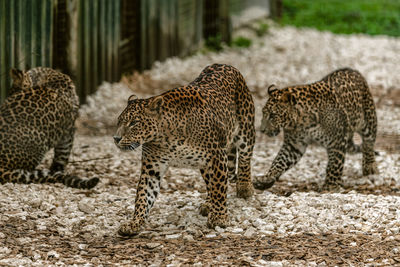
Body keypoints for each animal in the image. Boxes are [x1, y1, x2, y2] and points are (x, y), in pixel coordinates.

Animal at [114, 63, 255, 237]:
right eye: (119, 121)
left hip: (246, 130)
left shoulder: (216, 155)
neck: (165, 139)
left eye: (134, 123)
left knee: (244, 158)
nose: (116, 138)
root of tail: (224, 64)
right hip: (204, 164)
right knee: (211, 182)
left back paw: (244, 187)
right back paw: (208, 204)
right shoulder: (152, 168)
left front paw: (219, 218)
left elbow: (220, 188)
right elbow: (143, 195)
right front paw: (134, 222)